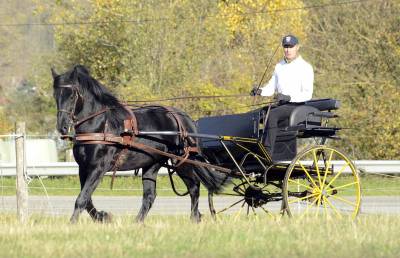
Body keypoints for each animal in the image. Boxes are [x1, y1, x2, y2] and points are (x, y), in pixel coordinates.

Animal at [52, 65, 228, 223]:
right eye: (56, 96)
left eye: (72, 96)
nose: (62, 127)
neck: (101, 125)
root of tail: (185, 118)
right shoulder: (84, 167)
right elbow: (87, 199)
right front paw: (102, 217)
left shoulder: (99, 167)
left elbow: (82, 198)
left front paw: (73, 223)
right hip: (152, 163)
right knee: (150, 196)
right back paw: (138, 222)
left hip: (182, 161)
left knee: (194, 188)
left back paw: (194, 218)